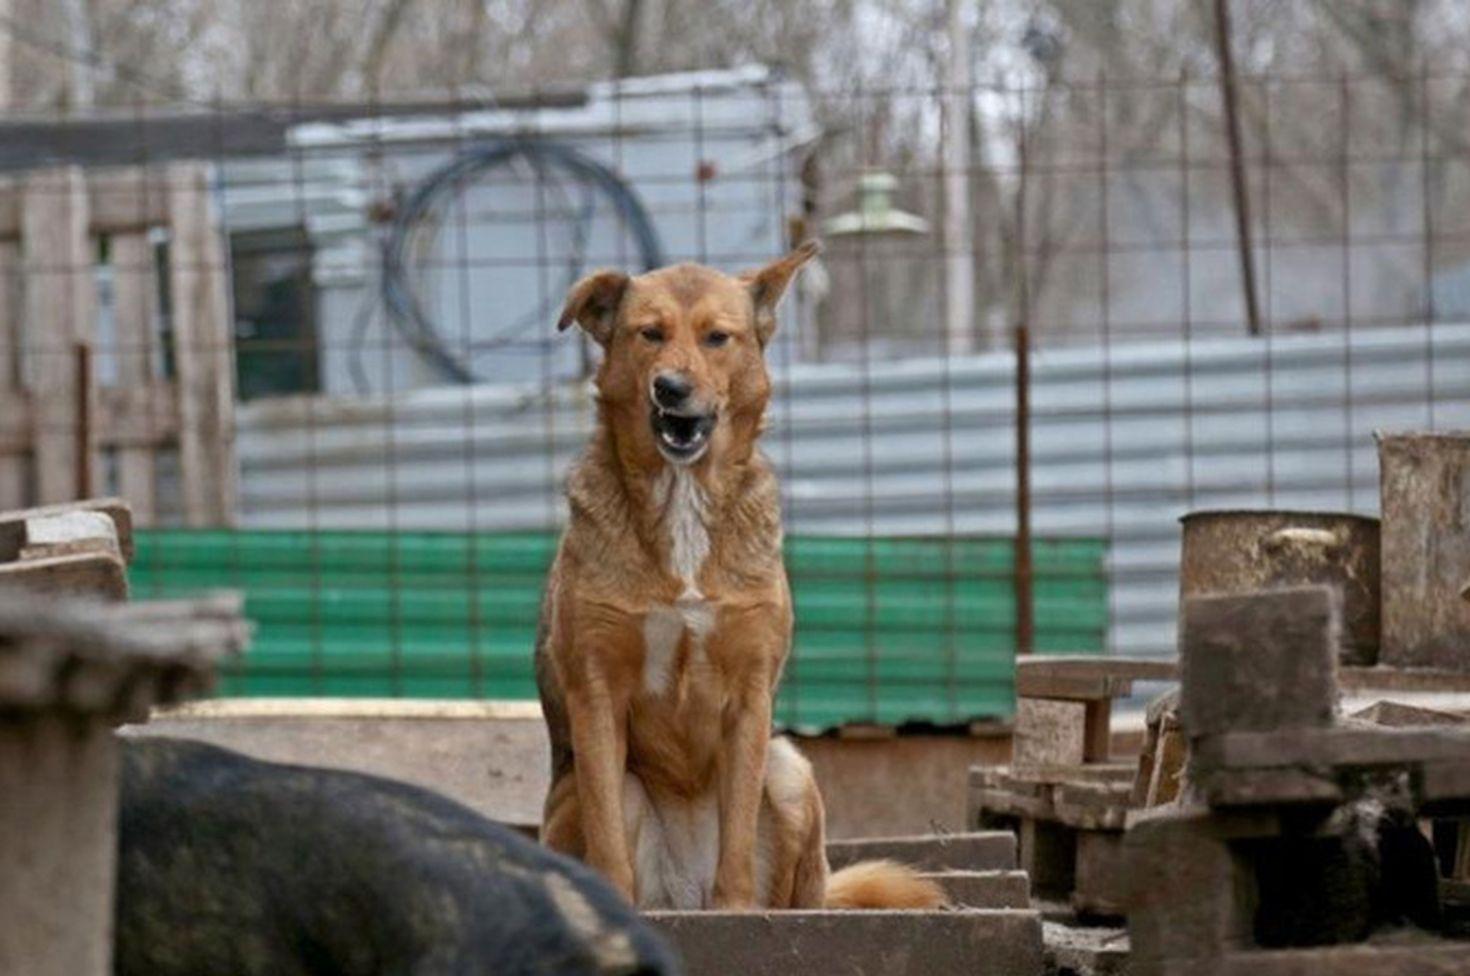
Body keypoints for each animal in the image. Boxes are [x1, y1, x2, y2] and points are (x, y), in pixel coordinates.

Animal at [538, 239, 940, 911]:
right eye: (649, 334)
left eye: (717, 338)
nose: (670, 388)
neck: (683, 502)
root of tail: (684, 894)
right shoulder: (596, 691)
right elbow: (607, 837)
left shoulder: (751, 695)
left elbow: (738, 834)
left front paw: (736, 908)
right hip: (603, 792)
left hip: (791, 769)